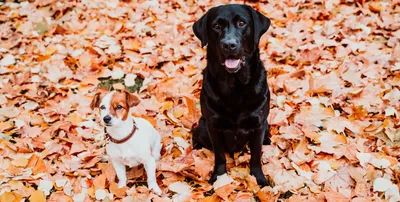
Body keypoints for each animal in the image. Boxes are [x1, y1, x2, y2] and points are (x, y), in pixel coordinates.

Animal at [191, 4, 272, 186]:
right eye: (216, 26)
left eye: (242, 23)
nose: (229, 45)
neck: (235, 86)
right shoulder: (213, 126)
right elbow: (219, 156)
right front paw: (219, 177)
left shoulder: (258, 125)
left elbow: (256, 155)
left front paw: (259, 179)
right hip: (202, 126)